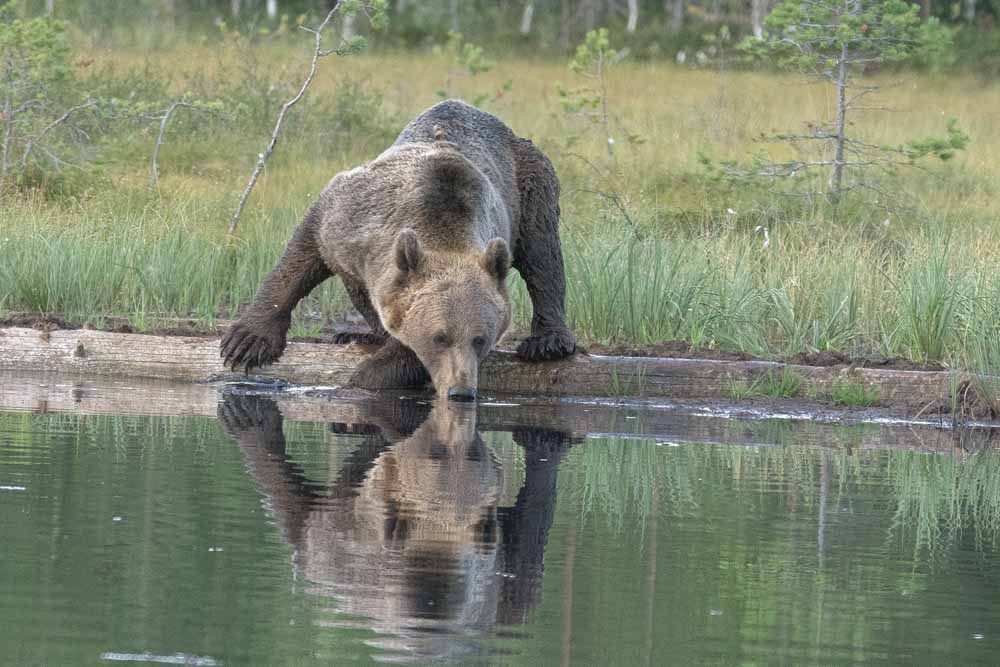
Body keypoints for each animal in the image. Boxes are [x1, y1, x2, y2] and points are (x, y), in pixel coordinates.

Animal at [220, 99, 577, 401]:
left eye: (481, 339)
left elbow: (403, 345)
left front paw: (366, 376)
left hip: (529, 187)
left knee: (542, 256)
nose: (461, 392)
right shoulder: (349, 217)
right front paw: (245, 342)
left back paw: (548, 342)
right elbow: (302, 253)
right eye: (440, 337)